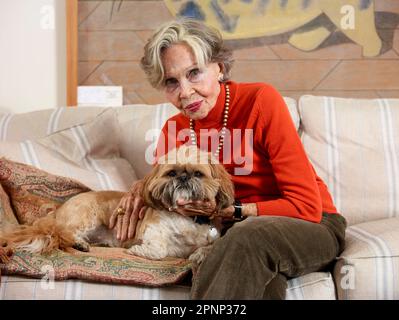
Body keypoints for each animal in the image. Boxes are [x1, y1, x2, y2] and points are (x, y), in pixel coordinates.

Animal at [0, 146, 234, 264]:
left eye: (198, 174)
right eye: (172, 173)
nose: (183, 178)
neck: (187, 219)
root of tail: (59, 210)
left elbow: (208, 247)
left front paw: (199, 255)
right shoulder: (152, 227)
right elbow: (159, 249)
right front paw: (138, 250)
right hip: (87, 216)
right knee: (62, 232)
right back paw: (79, 243)